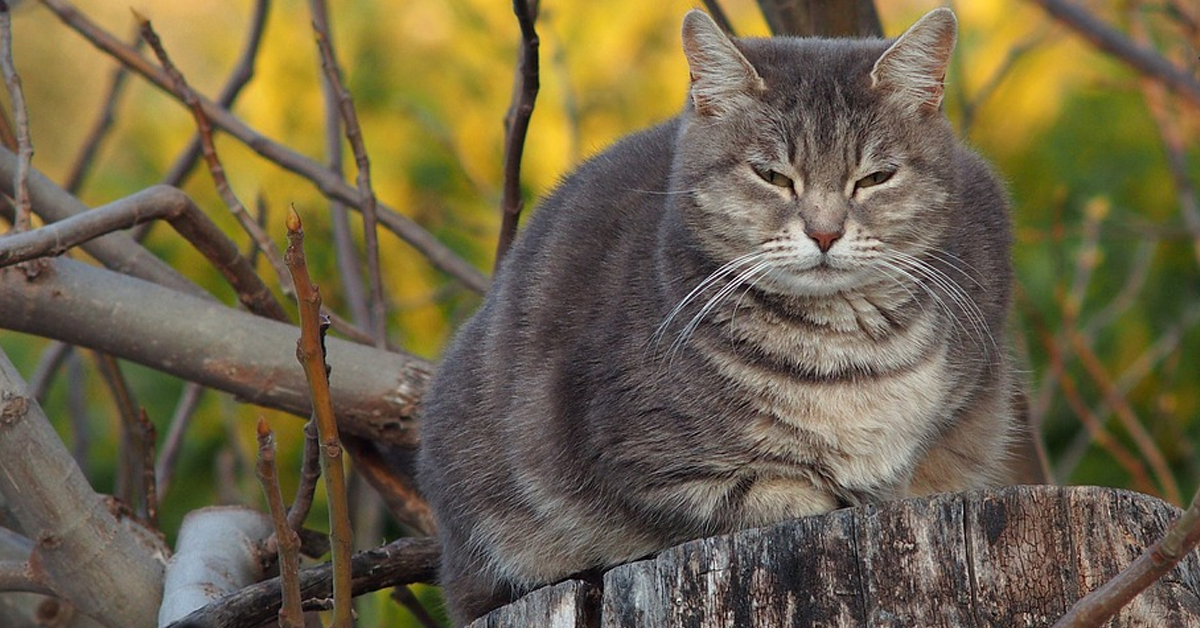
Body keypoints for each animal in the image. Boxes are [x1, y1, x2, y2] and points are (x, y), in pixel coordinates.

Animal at [417, 7, 1017, 624]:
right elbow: (767, 496)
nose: (825, 232)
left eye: (876, 177)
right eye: (772, 175)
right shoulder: (643, 461)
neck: (843, 353)